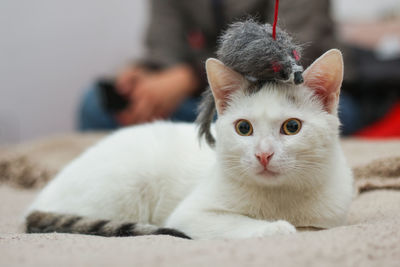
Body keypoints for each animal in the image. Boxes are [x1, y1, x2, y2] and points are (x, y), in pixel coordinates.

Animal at [25, 49, 354, 241]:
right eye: (243, 128)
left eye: (292, 127)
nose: (263, 154)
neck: (281, 197)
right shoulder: (191, 215)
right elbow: (236, 224)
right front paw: (275, 228)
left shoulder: (332, 218)